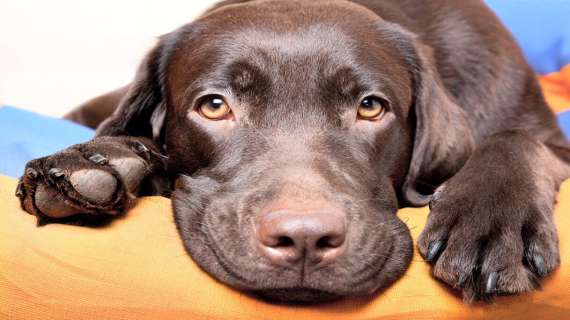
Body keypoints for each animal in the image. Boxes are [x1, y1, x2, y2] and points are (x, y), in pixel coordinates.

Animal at [16, 0, 568, 304]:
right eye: (214, 106)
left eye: (371, 107)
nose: (304, 239)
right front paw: (92, 160)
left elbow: (515, 140)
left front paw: (493, 223)